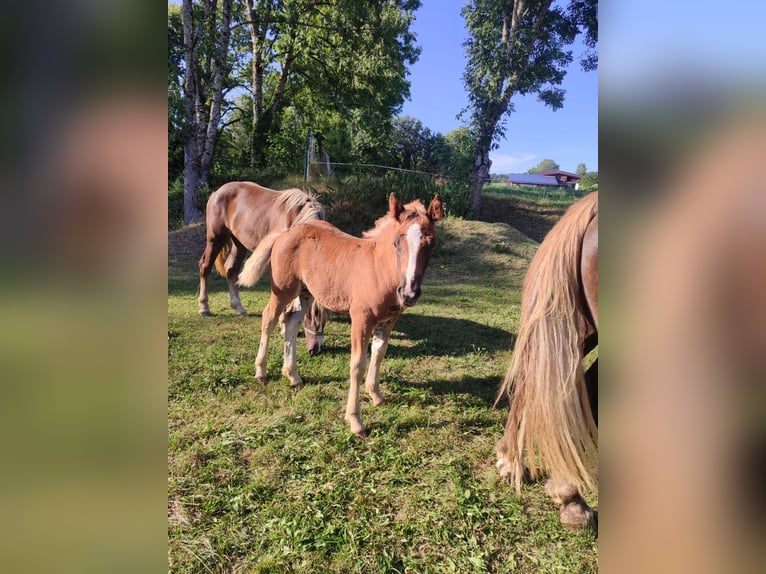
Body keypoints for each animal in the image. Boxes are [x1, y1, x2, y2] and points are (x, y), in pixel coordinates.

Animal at [198, 183, 330, 356]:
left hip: (239, 243)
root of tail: (217, 192)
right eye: (312, 315)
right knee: (205, 267)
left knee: (231, 270)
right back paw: (204, 307)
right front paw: (283, 324)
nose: (316, 349)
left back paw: (239, 308)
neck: (296, 217)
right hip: (215, 238)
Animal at [238, 192, 444, 436]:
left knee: (292, 323)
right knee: (268, 319)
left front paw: (376, 394)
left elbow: (379, 353)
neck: (380, 269)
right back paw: (261, 372)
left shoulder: (389, 319)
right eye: (396, 242)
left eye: (431, 244)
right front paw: (355, 420)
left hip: (306, 292)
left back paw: (293, 376)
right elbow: (357, 365)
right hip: (284, 289)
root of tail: (286, 232)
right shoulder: (361, 319)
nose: (409, 293)